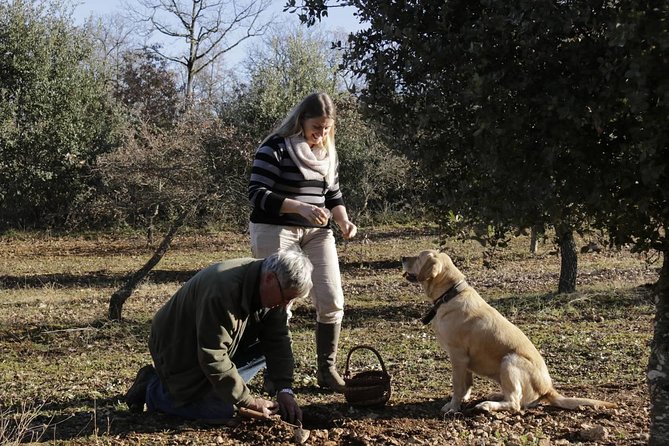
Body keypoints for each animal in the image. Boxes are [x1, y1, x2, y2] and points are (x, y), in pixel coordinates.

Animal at [400, 249, 612, 412]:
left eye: (419, 257)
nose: (402, 258)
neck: (450, 294)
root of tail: (548, 389)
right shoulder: (464, 360)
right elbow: (466, 383)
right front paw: (463, 399)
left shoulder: (458, 355)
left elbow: (458, 385)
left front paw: (453, 406)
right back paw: (495, 395)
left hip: (509, 361)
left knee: (515, 402)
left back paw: (487, 405)